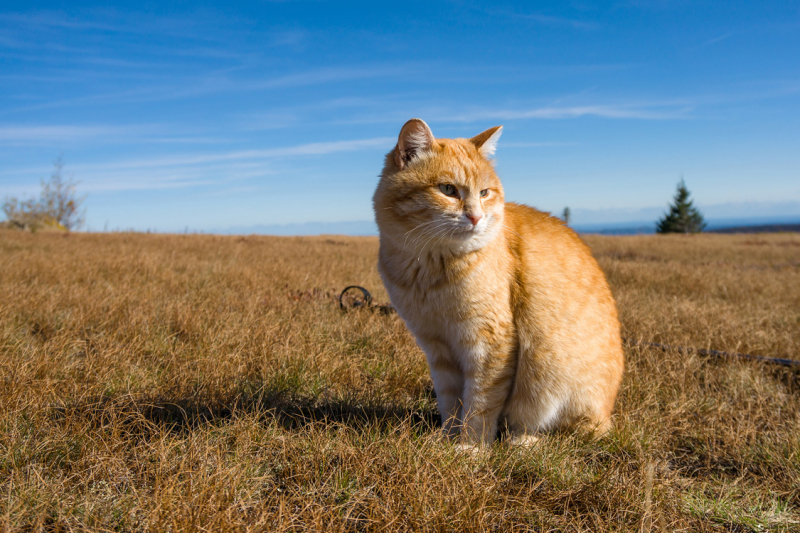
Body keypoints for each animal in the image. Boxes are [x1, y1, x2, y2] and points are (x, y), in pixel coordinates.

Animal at [376, 119, 624, 444]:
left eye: (484, 193)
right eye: (447, 189)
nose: (476, 217)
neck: (429, 269)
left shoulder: (491, 340)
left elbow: (480, 402)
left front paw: (471, 445)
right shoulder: (437, 346)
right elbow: (450, 400)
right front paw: (447, 439)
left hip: (550, 368)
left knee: (567, 433)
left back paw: (524, 441)